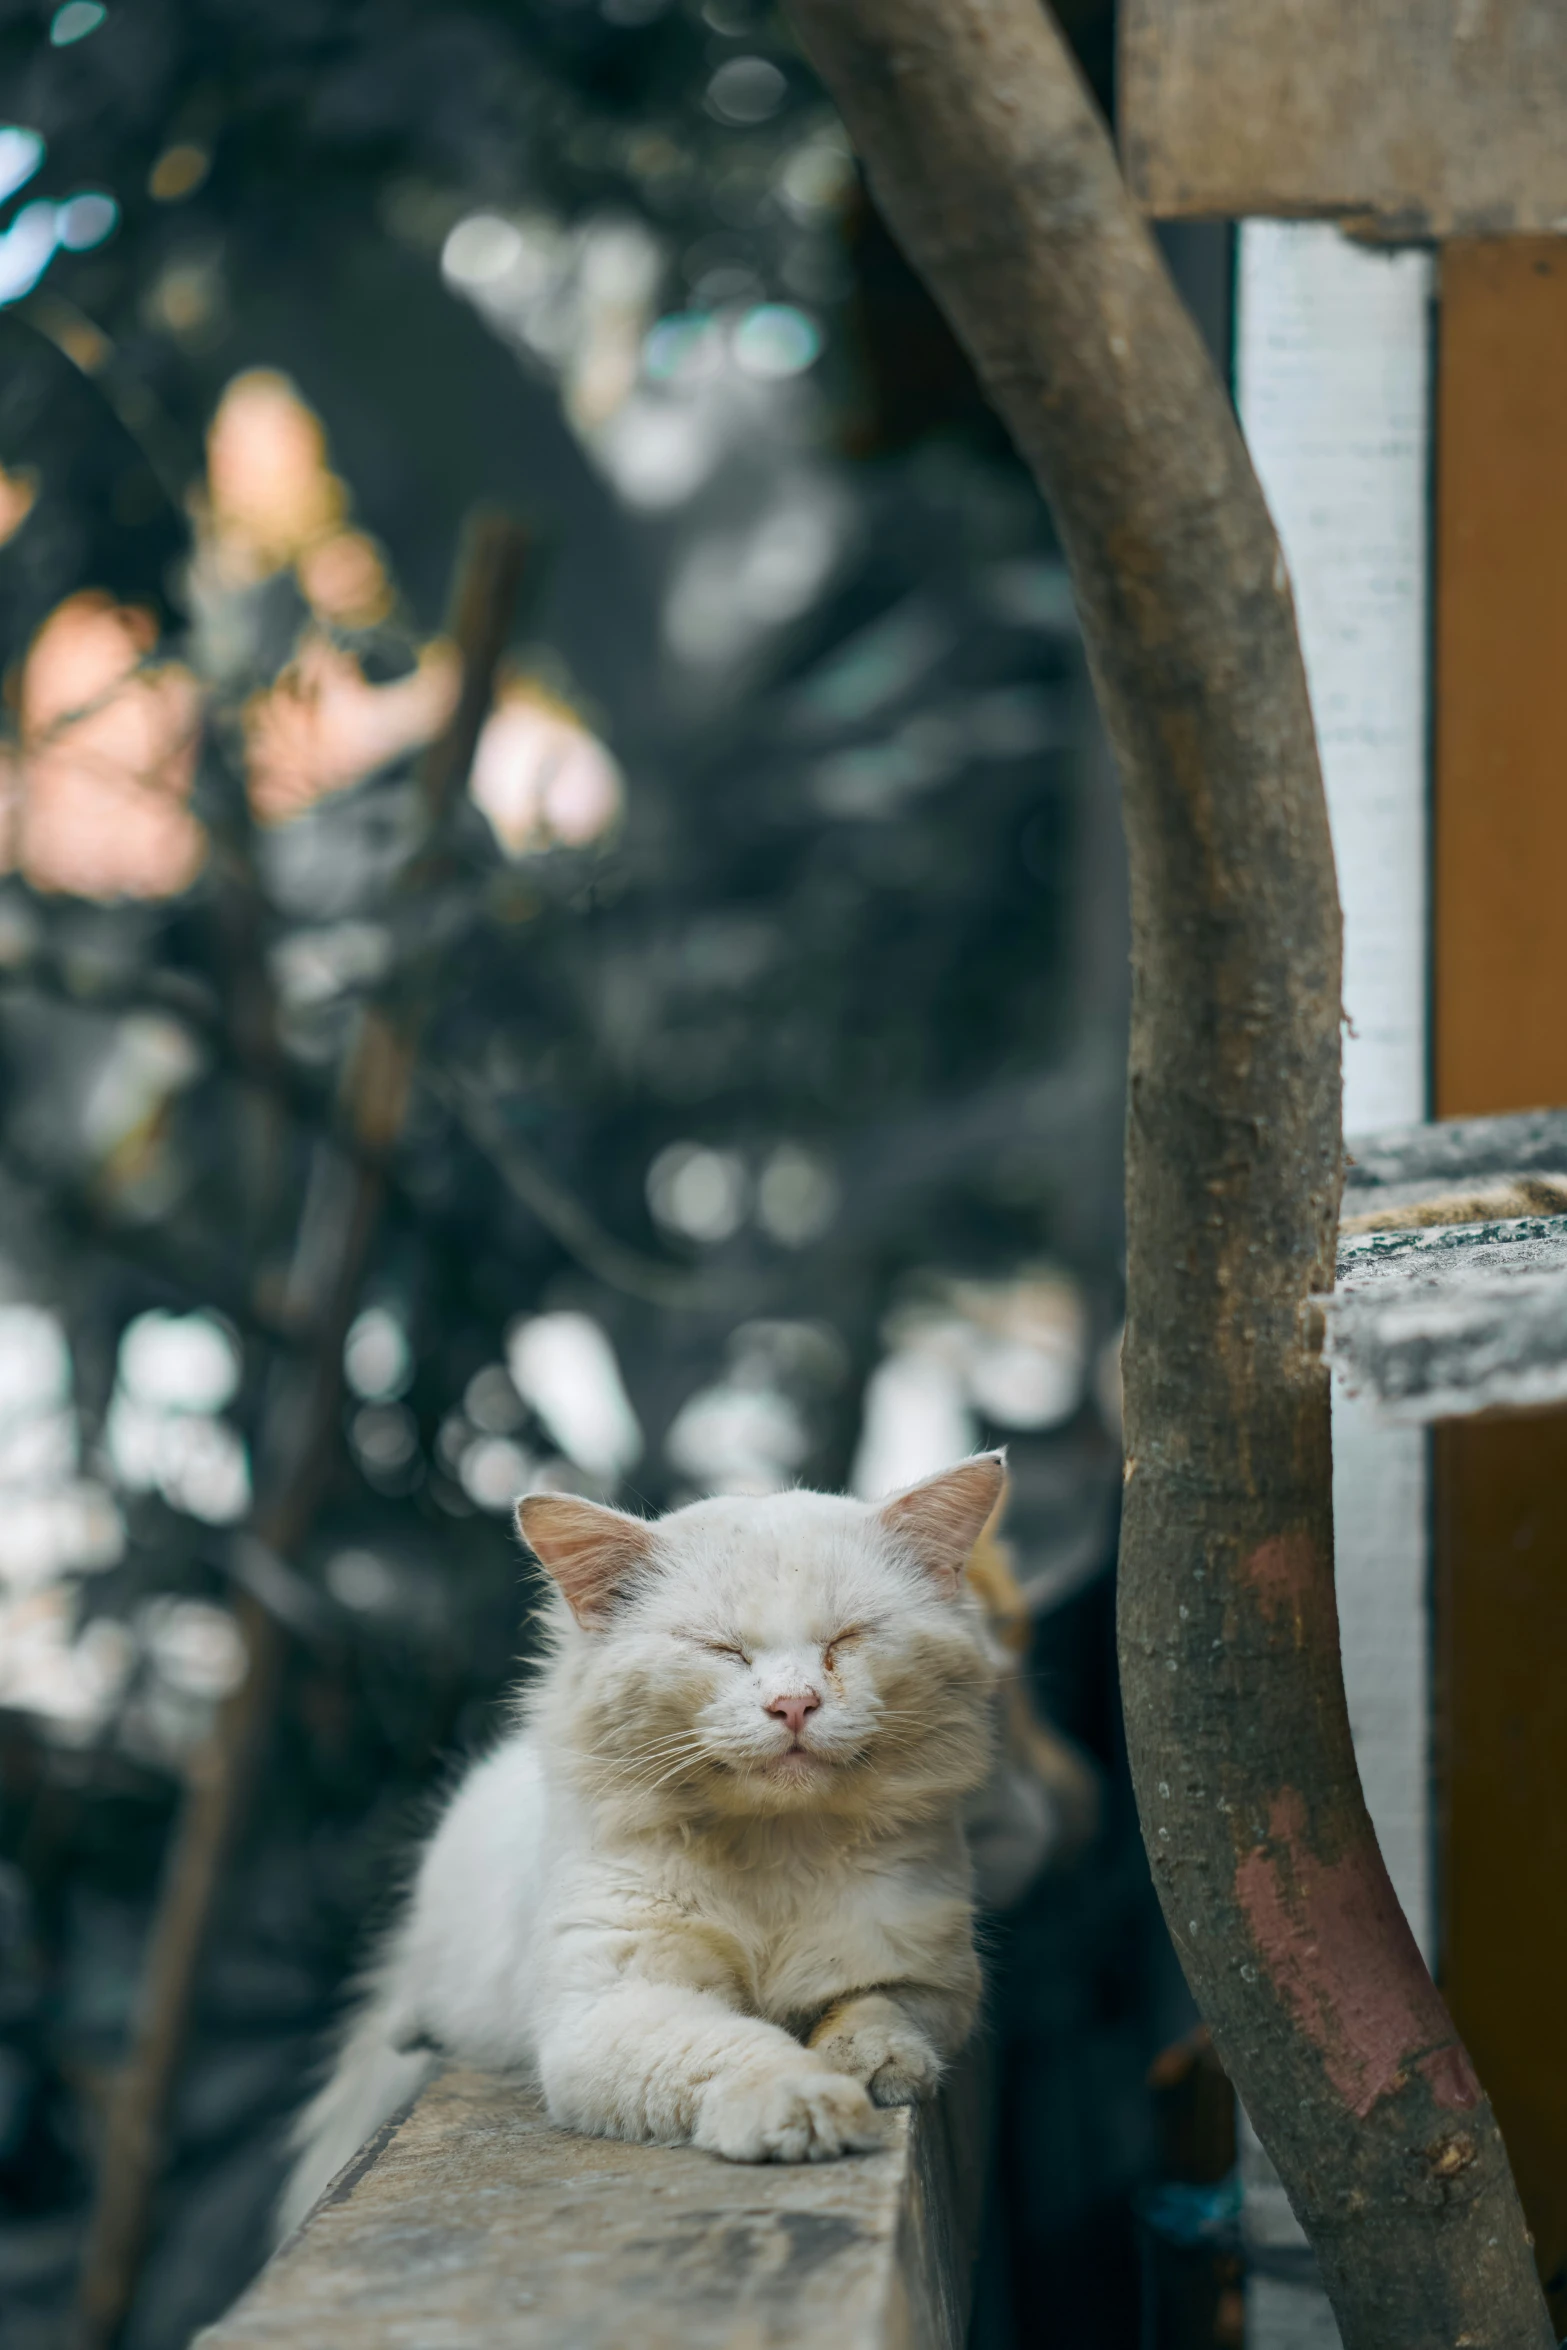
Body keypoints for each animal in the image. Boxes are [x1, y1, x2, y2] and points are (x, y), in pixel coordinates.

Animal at [278, 1447, 1005, 2237]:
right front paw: (808, 2106)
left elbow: (871, 2012)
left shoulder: (926, 1978)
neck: (777, 1850)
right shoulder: (618, 2000)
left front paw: (873, 2066)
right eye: (722, 1650)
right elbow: (741, 2050)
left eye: (846, 1641)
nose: (793, 1706)